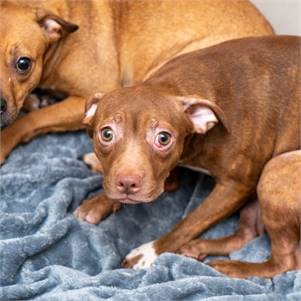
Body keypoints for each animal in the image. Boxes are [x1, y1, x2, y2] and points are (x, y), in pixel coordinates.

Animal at [82, 35, 300, 276]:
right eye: (106, 133)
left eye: (163, 138)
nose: (128, 183)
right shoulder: (164, 175)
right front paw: (98, 201)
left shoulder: (236, 185)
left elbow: (189, 222)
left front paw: (150, 252)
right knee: (247, 235)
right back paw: (200, 248)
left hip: (276, 169)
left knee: (285, 262)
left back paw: (233, 268)